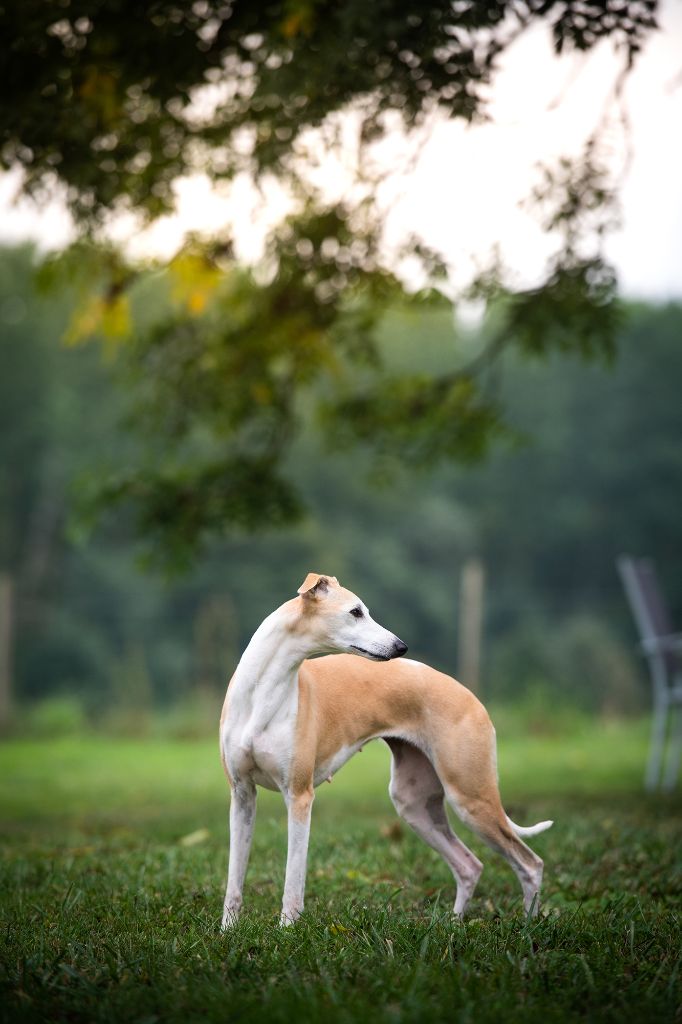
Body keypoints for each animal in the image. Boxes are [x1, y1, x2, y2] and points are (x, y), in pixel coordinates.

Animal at [220, 577, 548, 929]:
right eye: (355, 611)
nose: (400, 647)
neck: (262, 692)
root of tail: (469, 696)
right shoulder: (242, 794)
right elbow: (234, 878)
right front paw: (227, 931)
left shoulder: (299, 795)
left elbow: (293, 880)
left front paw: (286, 931)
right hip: (414, 804)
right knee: (470, 865)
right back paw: (452, 924)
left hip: (471, 798)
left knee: (530, 863)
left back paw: (528, 927)